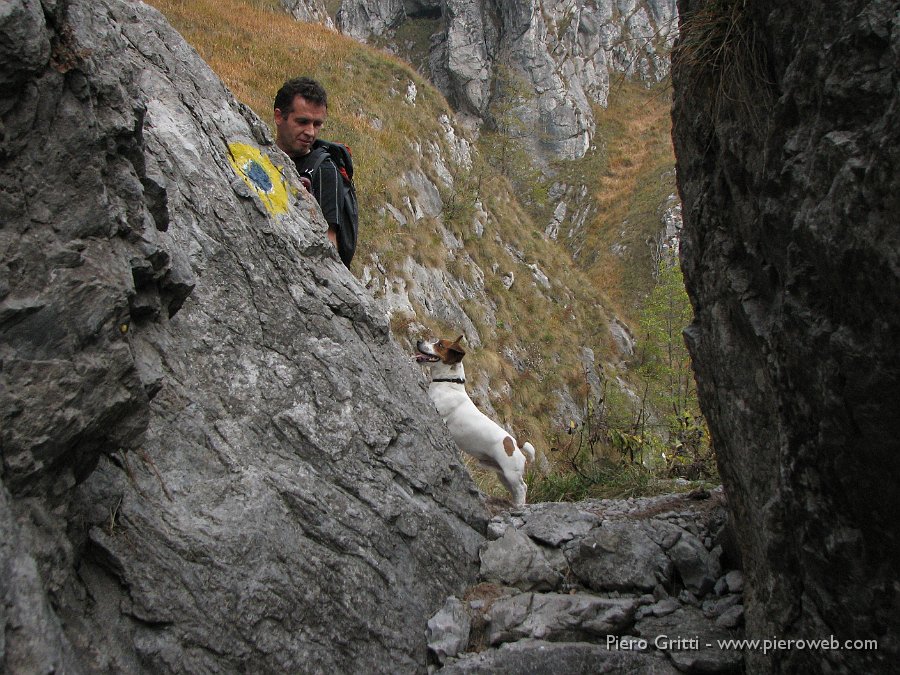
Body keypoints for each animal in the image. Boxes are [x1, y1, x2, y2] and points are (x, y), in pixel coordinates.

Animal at [414, 336, 536, 504]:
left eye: (440, 345)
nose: (419, 341)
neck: (448, 383)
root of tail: (515, 444)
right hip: (502, 474)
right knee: (515, 490)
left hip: (511, 473)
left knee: (522, 488)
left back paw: (519, 506)